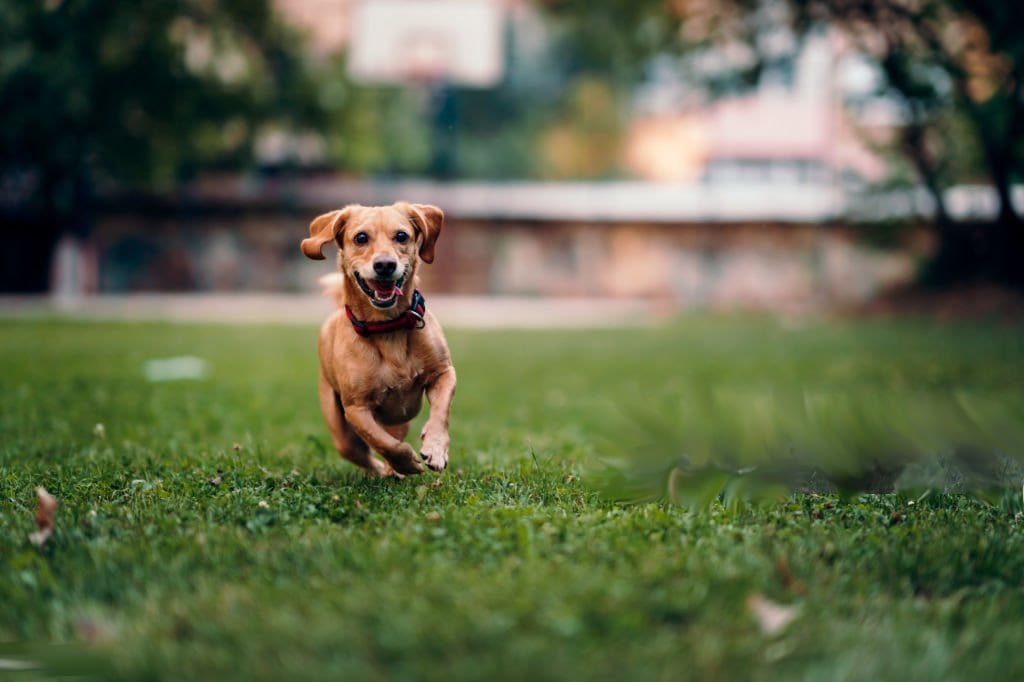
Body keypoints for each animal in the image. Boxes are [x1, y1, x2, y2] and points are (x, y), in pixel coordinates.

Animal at [299, 201, 454, 475]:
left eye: (401, 236)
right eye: (361, 238)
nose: (384, 265)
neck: (388, 327)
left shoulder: (444, 373)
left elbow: (441, 411)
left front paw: (435, 448)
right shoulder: (356, 409)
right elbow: (384, 443)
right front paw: (408, 463)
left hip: (399, 422)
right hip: (340, 431)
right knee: (361, 452)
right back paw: (385, 472)